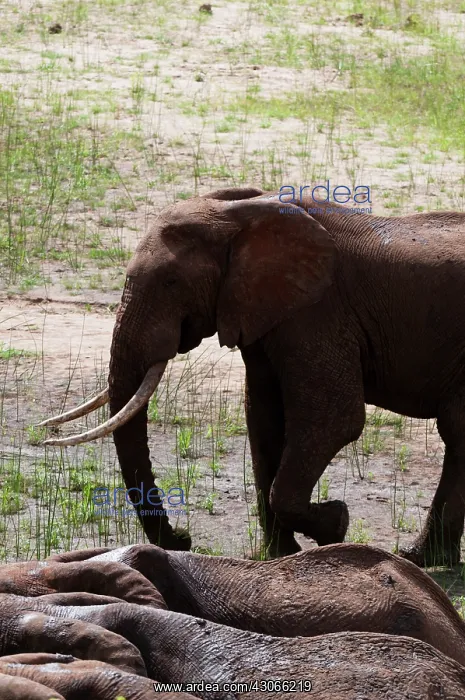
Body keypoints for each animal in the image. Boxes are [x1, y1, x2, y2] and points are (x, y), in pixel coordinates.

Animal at [41, 187, 465, 566]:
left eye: (171, 283)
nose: (183, 538)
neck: (241, 216)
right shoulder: (263, 312)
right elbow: (263, 420)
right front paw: (280, 555)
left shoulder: (318, 313)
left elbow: (334, 421)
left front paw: (336, 524)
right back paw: (424, 558)